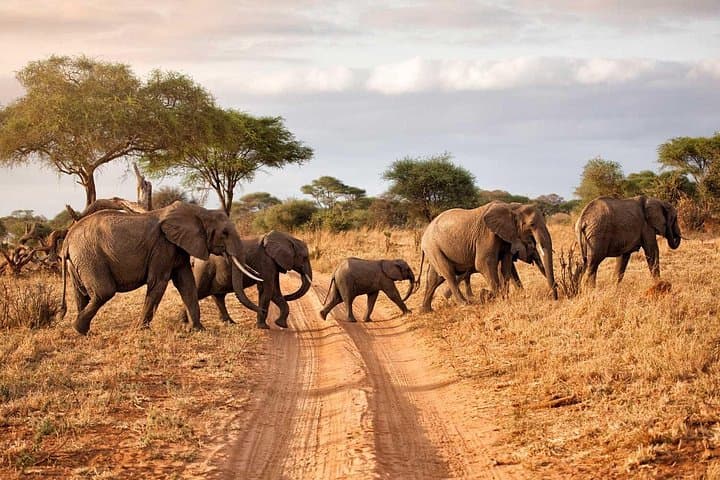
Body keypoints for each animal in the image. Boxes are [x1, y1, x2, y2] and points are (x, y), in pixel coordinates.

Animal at [58, 201, 263, 334]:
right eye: (225, 233)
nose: (262, 313)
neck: (200, 212)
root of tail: (67, 239)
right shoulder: (163, 246)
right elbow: (159, 282)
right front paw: (141, 330)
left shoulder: (179, 247)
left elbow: (187, 283)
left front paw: (198, 330)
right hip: (90, 257)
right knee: (104, 291)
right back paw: (79, 328)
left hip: (78, 261)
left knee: (81, 293)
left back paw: (83, 332)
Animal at [183, 230, 313, 329]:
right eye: (305, 257)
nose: (287, 296)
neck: (288, 238)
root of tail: (194, 258)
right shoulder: (265, 261)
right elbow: (268, 290)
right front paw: (264, 327)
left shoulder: (273, 263)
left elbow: (274, 291)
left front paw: (281, 325)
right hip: (204, 269)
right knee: (198, 292)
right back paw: (184, 322)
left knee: (218, 296)